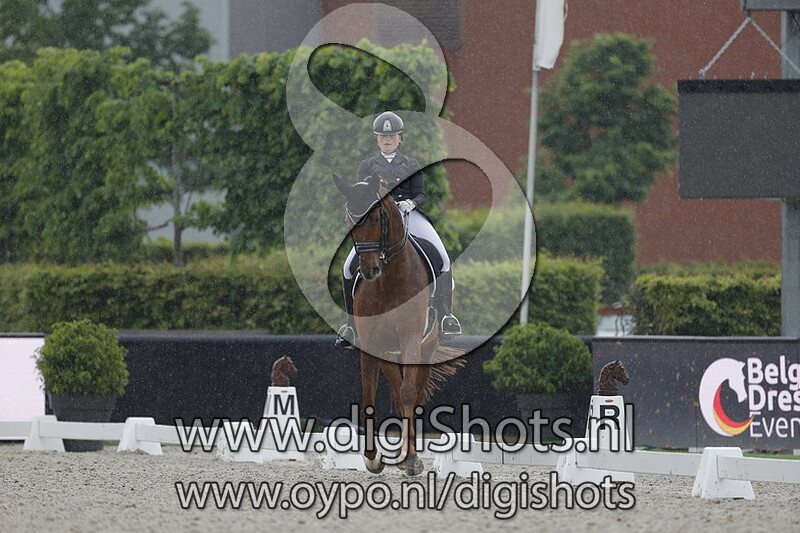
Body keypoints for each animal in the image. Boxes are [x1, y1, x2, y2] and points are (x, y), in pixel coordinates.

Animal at [333, 174, 464, 476]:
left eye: (377, 216)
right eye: (350, 218)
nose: (369, 270)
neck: (389, 280)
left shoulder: (411, 338)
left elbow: (408, 394)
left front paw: (412, 459)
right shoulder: (371, 344)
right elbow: (370, 395)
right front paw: (372, 458)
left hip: (427, 346)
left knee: (413, 392)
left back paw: (409, 457)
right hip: (388, 351)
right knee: (396, 386)